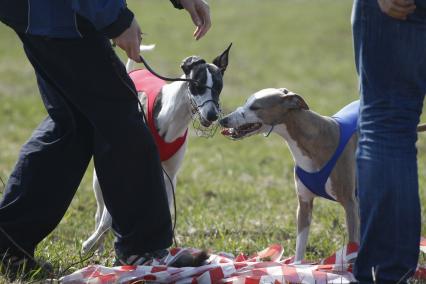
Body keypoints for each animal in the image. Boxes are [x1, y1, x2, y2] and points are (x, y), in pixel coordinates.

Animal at [81, 45, 231, 255]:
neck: (173, 118)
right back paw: (98, 243)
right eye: (197, 85)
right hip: (99, 178)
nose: (212, 115)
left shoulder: (170, 176)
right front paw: (89, 244)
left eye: (218, 86)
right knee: (100, 211)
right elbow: (108, 218)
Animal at [220, 88, 360, 262]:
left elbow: (352, 245)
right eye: (246, 102)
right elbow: (299, 248)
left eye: (255, 107)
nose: (223, 120)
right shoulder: (304, 205)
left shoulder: (349, 204)